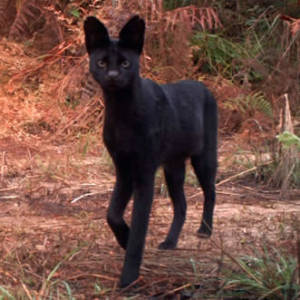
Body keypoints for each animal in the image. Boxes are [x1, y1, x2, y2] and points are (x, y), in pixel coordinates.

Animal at [83, 15, 217, 288]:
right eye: (102, 62)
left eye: (125, 63)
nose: (113, 75)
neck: (122, 112)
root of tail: (204, 87)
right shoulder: (123, 169)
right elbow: (112, 214)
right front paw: (123, 237)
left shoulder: (144, 173)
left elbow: (140, 225)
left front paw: (129, 277)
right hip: (173, 167)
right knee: (182, 205)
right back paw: (170, 241)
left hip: (204, 158)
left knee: (211, 192)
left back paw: (205, 230)